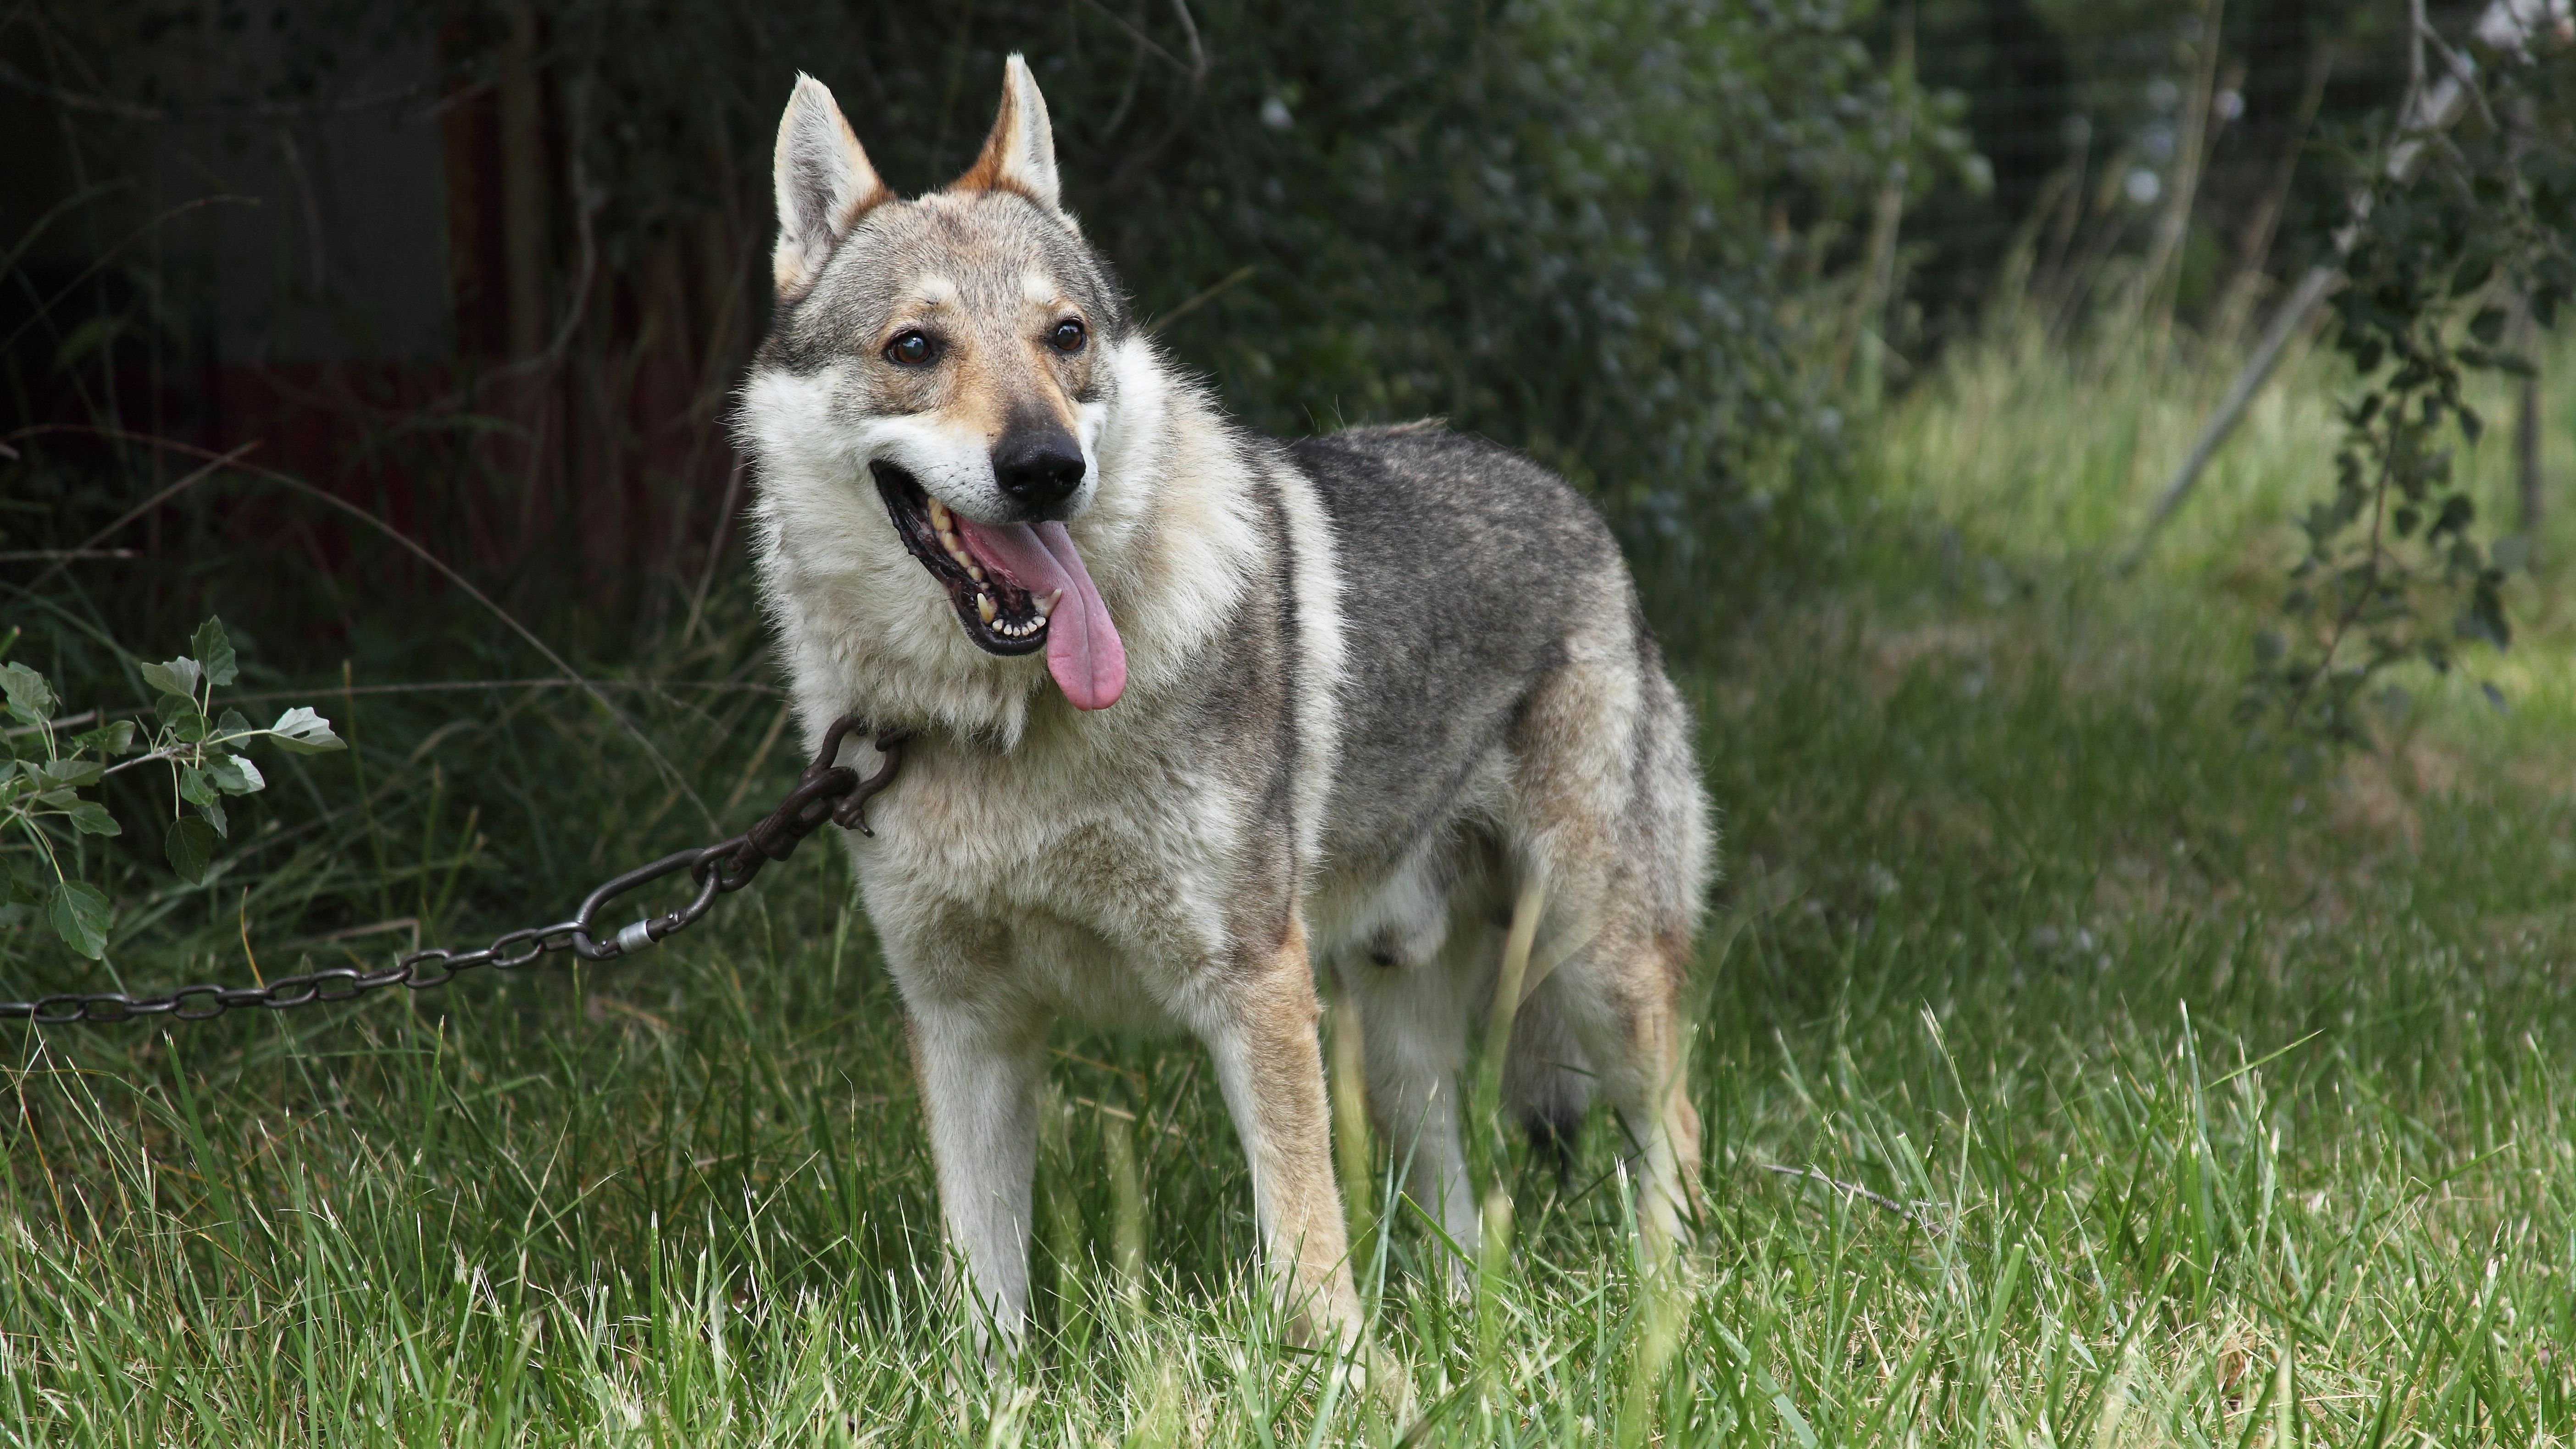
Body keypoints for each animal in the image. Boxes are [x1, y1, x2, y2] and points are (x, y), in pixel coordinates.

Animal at [737, 56, 1721, 1340]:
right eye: (914, 346)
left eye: (1066, 337)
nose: (1048, 468)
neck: (1007, 729)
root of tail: (1579, 508)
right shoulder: (964, 1026)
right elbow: (983, 1290)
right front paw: (987, 1381)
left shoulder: (1253, 990)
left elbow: (1307, 1255)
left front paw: (1348, 1374)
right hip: (1392, 1035)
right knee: (1454, 1192)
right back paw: (1463, 1321)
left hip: (1590, 957)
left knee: (1673, 1131)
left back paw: (1670, 1302)